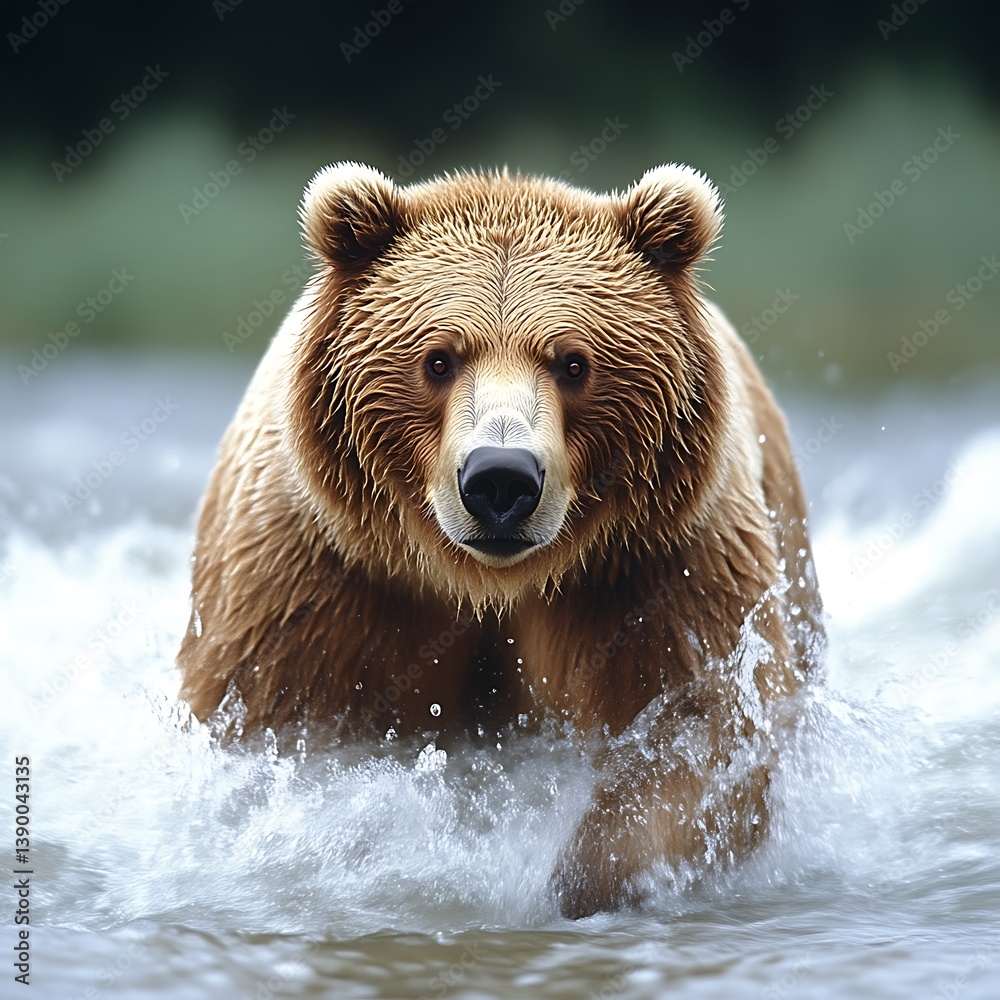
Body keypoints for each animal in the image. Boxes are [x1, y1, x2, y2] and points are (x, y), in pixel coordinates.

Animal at [177, 161, 823, 918]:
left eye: (573, 363)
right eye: (438, 359)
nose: (500, 479)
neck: (484, 580)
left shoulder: (656, 564)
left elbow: (702, 727)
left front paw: (583, 879)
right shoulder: (322, 576)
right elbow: (273, 734)